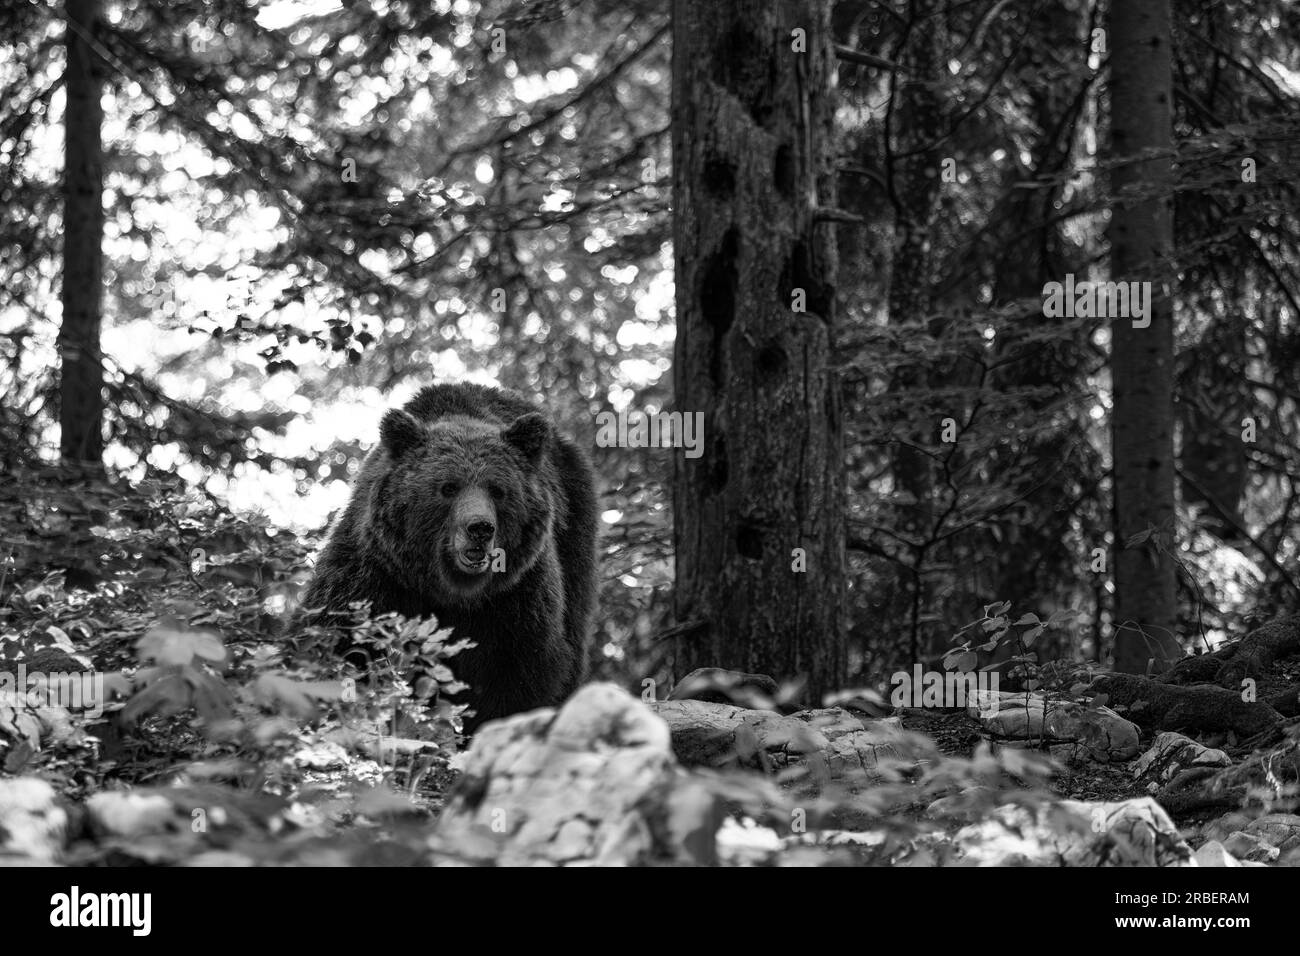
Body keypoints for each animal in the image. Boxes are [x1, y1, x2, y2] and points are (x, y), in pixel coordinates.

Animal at [300, 385, 598, 728]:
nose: (480, 528)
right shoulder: (374, 571)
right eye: (448, 487)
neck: (451, 591)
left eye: (498, 490)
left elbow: (521, 673)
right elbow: (342, 640)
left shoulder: (516, 596)